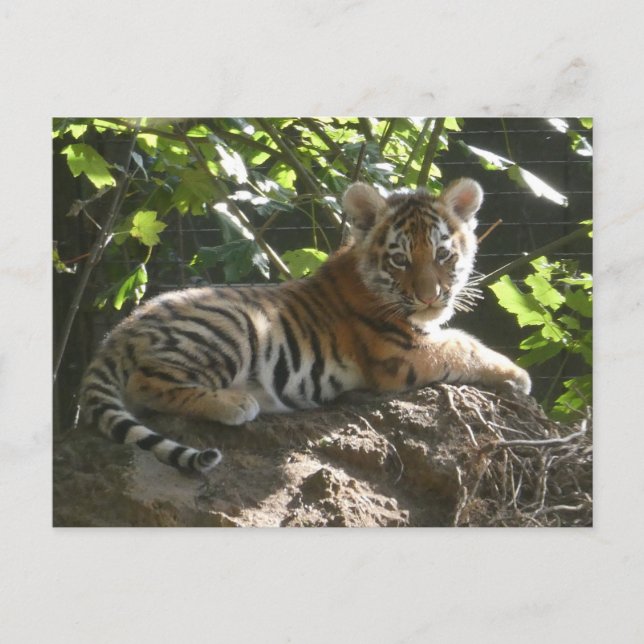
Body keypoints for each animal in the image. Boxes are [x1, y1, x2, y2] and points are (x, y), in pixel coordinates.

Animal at [80, 178, 531, 473]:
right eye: (400, 259)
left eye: (442, 255)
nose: (430, 297)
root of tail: (118, 333)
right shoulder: (402, 355)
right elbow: (465, 346)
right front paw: (517, 375)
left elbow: (461, 340)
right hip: (234, 324)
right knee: (146, 383)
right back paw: (236, 403)